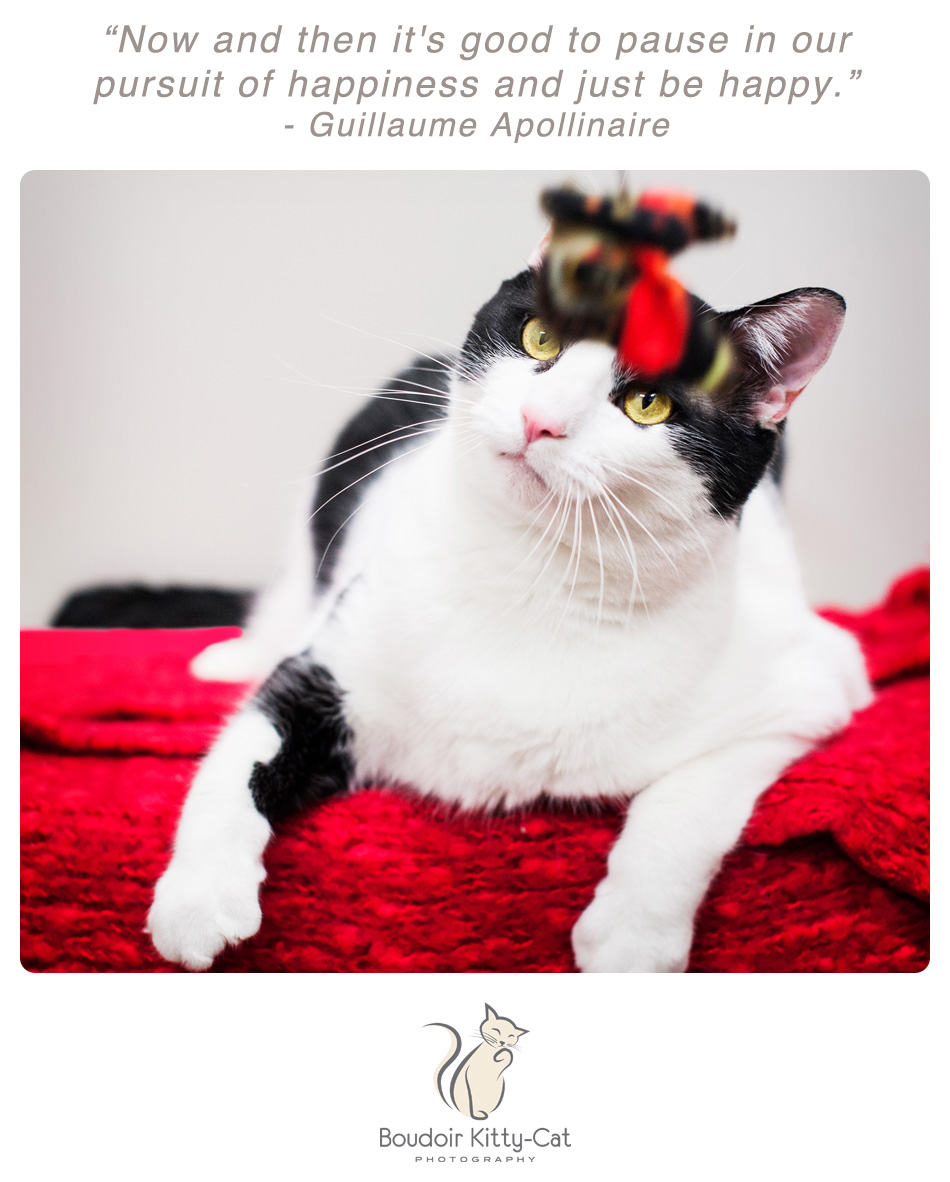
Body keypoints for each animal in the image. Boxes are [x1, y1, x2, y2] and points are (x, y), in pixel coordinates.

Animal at [146, 249, 869, 969]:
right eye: (540, 338)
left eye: (648, 403)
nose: (539, 418)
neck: (531, 572)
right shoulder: (333, 662)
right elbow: (245, 745)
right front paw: (197, 894)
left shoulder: (814, 687)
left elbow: (692, 800)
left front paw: (632, 936)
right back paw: (231, 656)